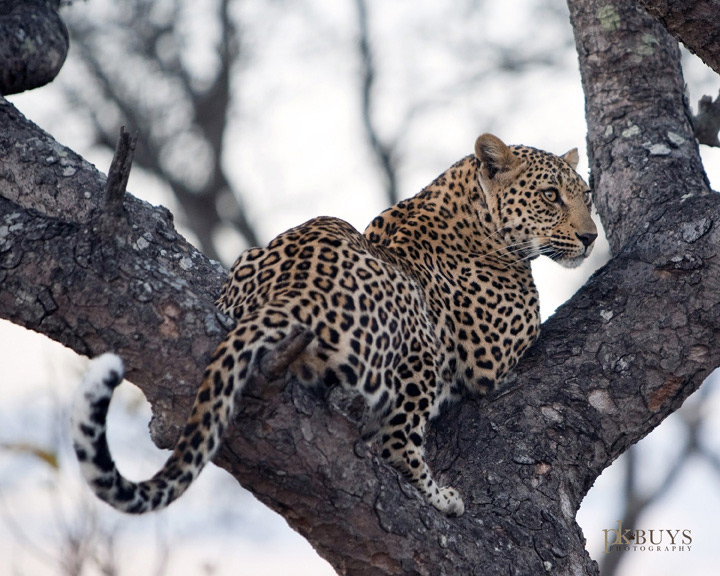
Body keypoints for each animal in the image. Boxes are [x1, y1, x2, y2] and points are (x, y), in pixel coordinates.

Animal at [72, 133, 597, 518]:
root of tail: (293, 291)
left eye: (587, 197)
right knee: (395, 442)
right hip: (418, 340)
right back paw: (443, 497)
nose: (592, 237)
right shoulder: (492, 357)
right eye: (551, 196)